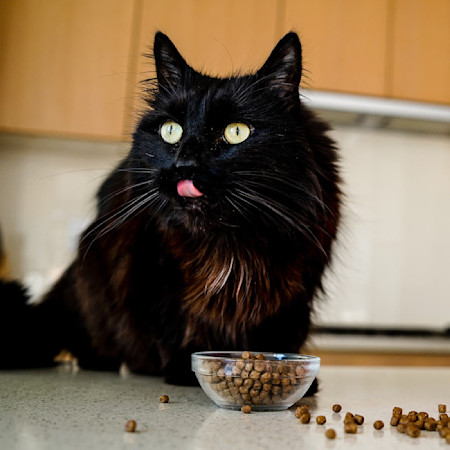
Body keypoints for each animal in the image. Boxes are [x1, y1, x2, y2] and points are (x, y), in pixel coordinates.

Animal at [0, 31, 342, 384]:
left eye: (236, 132)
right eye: (171, 130)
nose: (184, 166)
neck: (228, 241)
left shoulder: (294, 294)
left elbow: (281, 335)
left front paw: (282, 370)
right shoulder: (156, 270)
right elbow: (179, 324)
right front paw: (187, 368)